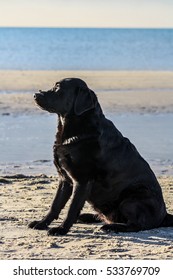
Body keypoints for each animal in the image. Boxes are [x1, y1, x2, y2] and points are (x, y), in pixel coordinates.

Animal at [28, 77, 173, 235]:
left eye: (58, 87)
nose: (35, 95)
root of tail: (164, 215)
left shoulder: (82, 180)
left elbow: (72, 207)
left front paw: (61, 229)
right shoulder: (65, 179)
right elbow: (55, 205)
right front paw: (42, 223)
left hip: (132, 198)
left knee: (136, 225)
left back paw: (111, 227)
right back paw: (88, 217)